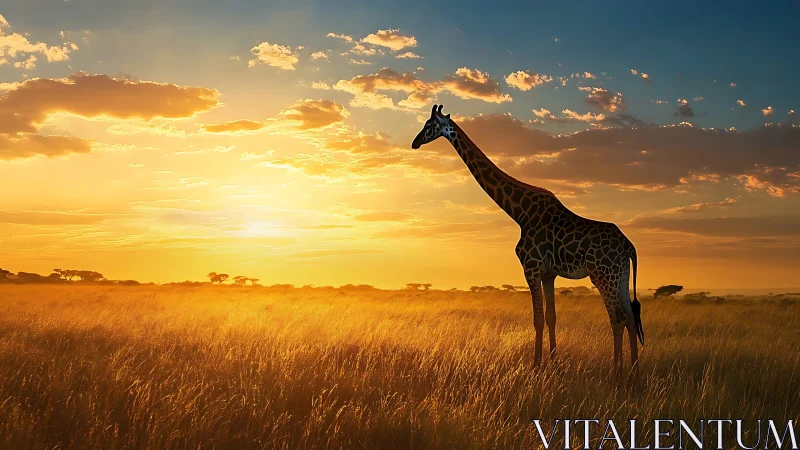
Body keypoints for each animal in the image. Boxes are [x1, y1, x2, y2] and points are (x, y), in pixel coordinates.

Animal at [411, 104, 644, 377]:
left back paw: (616, 375)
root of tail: (629, 247)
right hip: (620, 276)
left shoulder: (530, 268)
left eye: (428, 125)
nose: (415, 143)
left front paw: (536, 366)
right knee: (631, 317)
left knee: (618, 318)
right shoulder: (548, 273)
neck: (519, 213)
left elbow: (538, 318)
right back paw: (634, 373)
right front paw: (554, 364)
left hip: (603, 275)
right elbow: (551, 316)